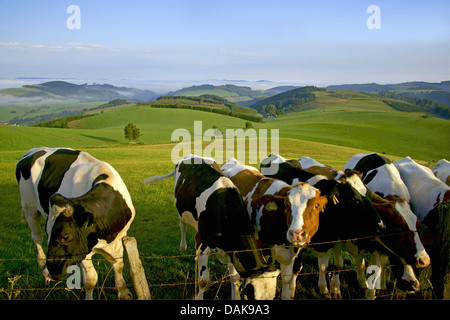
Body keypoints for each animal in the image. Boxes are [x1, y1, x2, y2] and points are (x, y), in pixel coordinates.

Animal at [15, 148, 136, 300]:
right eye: (50, 234)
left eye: (65, 236)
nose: (49, 272)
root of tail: (33, 150)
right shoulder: (82, 249)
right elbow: (90, 280)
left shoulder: (120, 237)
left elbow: (118, 265)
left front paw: (124, 292)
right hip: (29, 207)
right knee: (36, 236)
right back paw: (41, 261)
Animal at [142, 155, 280, 300]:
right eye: (252, 294)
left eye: (274, 295)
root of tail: (191, 156)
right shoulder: (204, 244)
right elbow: (203, 280)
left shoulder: (232, 249)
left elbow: (234, 277)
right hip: (180, 210)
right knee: (183, 227)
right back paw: (183, 246)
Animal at [220, 158, 326, 300]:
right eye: (287, 205)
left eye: (316, 205)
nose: (296, 234)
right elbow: (237, 276)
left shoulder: (289, 256)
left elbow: (287, 281)